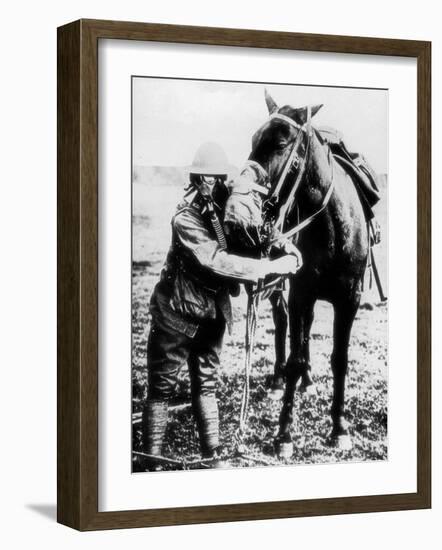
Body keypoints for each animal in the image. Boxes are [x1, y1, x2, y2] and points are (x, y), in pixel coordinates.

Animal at [224, 91, 370, 458]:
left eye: (280, 142)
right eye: (253, 139)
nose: (239, 202)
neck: (333, 229)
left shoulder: (349, 299)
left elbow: (339, 359)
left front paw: (339, 427)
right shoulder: (300, 293)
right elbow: (294, 354)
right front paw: (284, 434)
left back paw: (308, 380)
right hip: (282, 288)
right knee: (283, 325)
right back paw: (279, 381)